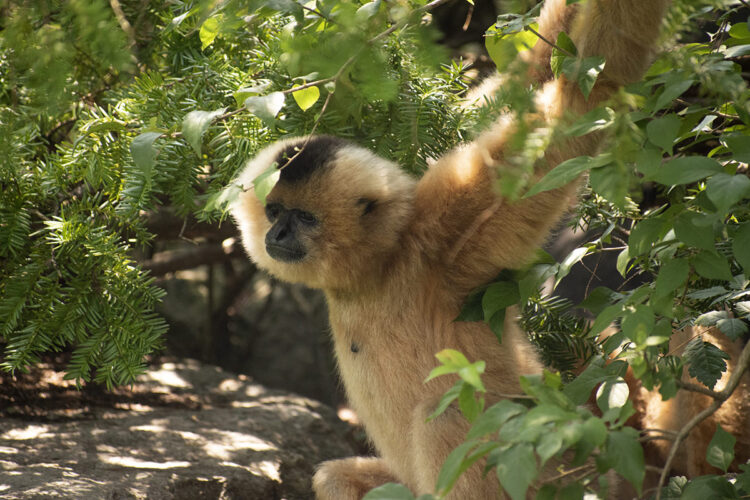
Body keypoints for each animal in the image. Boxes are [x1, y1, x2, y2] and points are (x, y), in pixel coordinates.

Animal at [230, 0, 670, 497]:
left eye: (304, 218)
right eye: (274, 211)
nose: (278, 236)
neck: (379, 270)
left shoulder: (443, 242)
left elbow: (585, 97)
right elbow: (525, 85)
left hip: (548, 466)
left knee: (447, 413)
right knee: (335, 477)